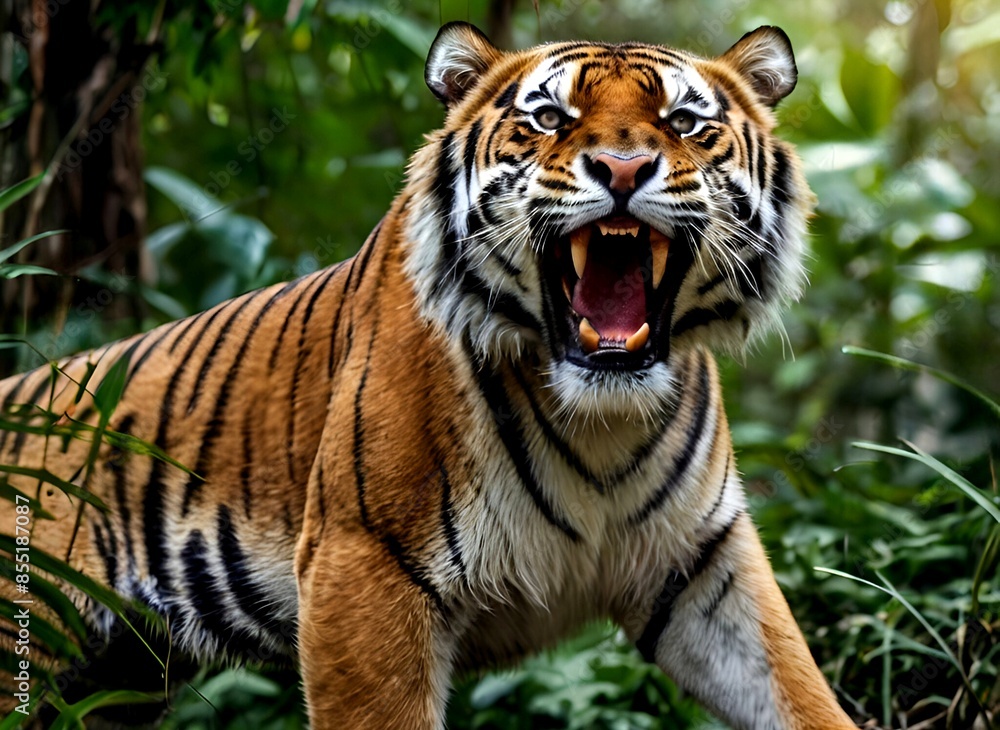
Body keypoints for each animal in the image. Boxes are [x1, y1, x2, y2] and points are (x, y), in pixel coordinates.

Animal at [0, 21, 859, 729]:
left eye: (684, 123)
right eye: (550, 118)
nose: (623, 168)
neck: (600, 418)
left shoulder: (703, 568)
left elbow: (801, 693)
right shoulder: (362, 568)